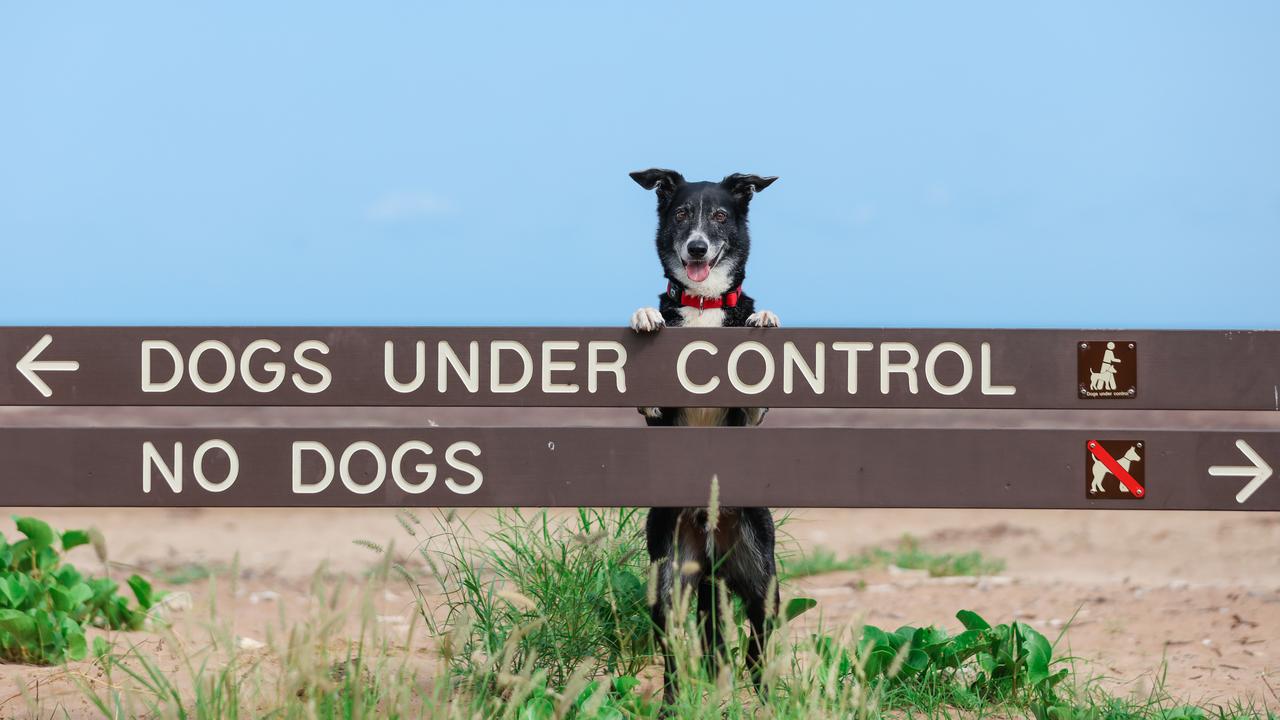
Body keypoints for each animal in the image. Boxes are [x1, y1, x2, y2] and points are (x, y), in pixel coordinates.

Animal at [629, 166, 778, 696]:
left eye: (718, 215)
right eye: (679, 215)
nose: (695, 248)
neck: (704, 303)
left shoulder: (751, 415)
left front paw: (764, 317)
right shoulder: (655, 415)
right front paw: (646, 315)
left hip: (763, 578)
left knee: (758, 643)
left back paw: (763, 696)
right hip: (668, 577)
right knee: (675, 653)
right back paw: (676, 703)